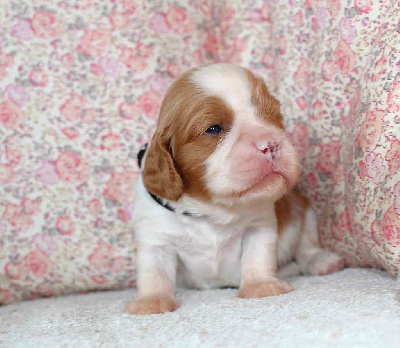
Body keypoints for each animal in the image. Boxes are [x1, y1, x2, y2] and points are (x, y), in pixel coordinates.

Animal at [125, 63, 344, 316]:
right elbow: (154, 273)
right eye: (213, 128)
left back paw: (322, 260)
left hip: (301, 206)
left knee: (306, 245)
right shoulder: (155, 237)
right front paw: (152, 301)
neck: (212, 208)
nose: (270, 145)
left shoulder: (259, 225)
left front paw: (261, 285)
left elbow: (257, 256)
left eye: (274, 116)